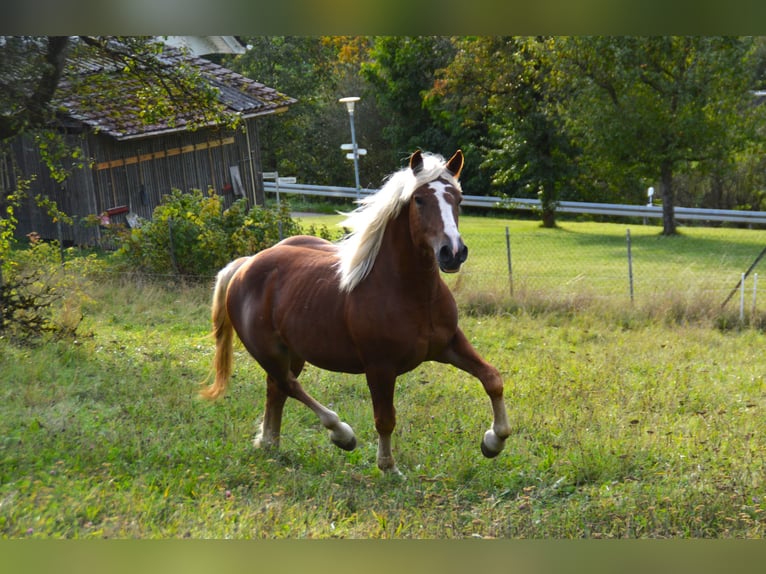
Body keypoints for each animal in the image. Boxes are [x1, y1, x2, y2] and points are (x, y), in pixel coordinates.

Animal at [201, 151, 512, 474]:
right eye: (419, 200)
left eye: (459, 199)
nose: (453, 252)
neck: (412, 294)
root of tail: (244, 265)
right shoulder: (379, 366)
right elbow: (385, 418)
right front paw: (388, 467)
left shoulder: (449, 345)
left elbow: (492, 379)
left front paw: (493, 442)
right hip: (268, 352)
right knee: (288, 384)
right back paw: (341, 434)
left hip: (292, 352)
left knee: (277, 389)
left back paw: (270, 443)